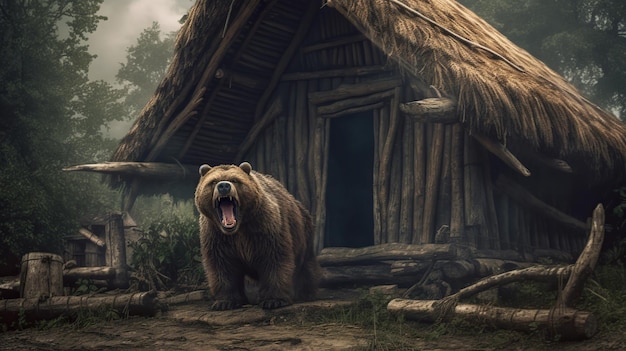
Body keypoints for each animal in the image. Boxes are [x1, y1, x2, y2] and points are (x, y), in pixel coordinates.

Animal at [194, 162, 322, 310]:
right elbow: (222, 266)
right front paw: (224, 302)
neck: (238, 228)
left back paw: (306, 293)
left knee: (306, 265)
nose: (224, 186)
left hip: (303, 232)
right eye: (213, 181)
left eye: (235, 180)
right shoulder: (216, 237)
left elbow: (274, 258)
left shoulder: (265, 227)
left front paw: (273, 300)